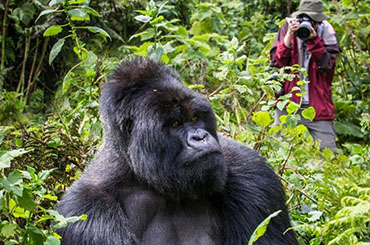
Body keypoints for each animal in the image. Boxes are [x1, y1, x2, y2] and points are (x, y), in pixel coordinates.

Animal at [56, 57, 298, 245]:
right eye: (175, 124)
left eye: (195, 118)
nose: (200, 137)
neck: (146, 179)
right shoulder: (84, 212)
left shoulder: (252, 173)